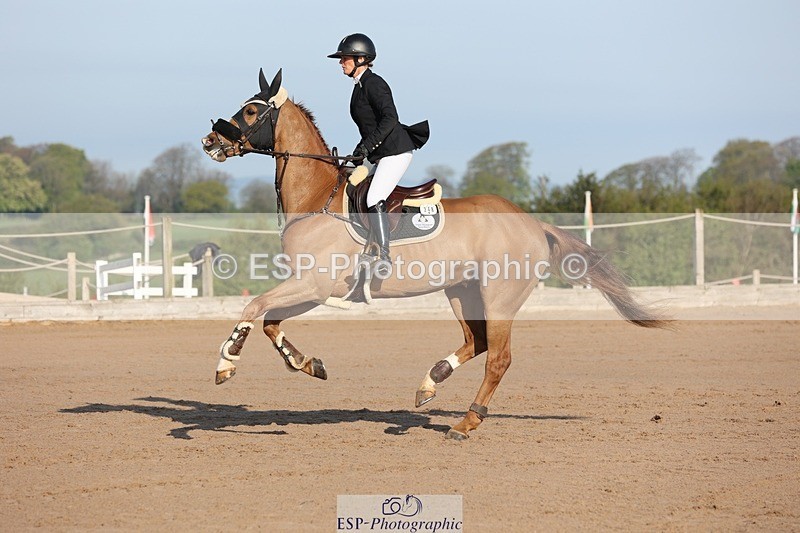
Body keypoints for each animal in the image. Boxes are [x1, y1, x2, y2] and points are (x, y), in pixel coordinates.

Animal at [201, 68, 668, 440]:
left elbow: (255, 307)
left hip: (499, 297)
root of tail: (534, 224)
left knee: (498, 357)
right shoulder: (313, 289)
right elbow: (271, 322)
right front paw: (308, 364)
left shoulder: (312, 284)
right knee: (476, 342)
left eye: (250, 111)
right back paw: (430, 383)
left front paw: (226, 363)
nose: (209, 142)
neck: (319, 198)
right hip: (462, 292)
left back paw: (467, 423)